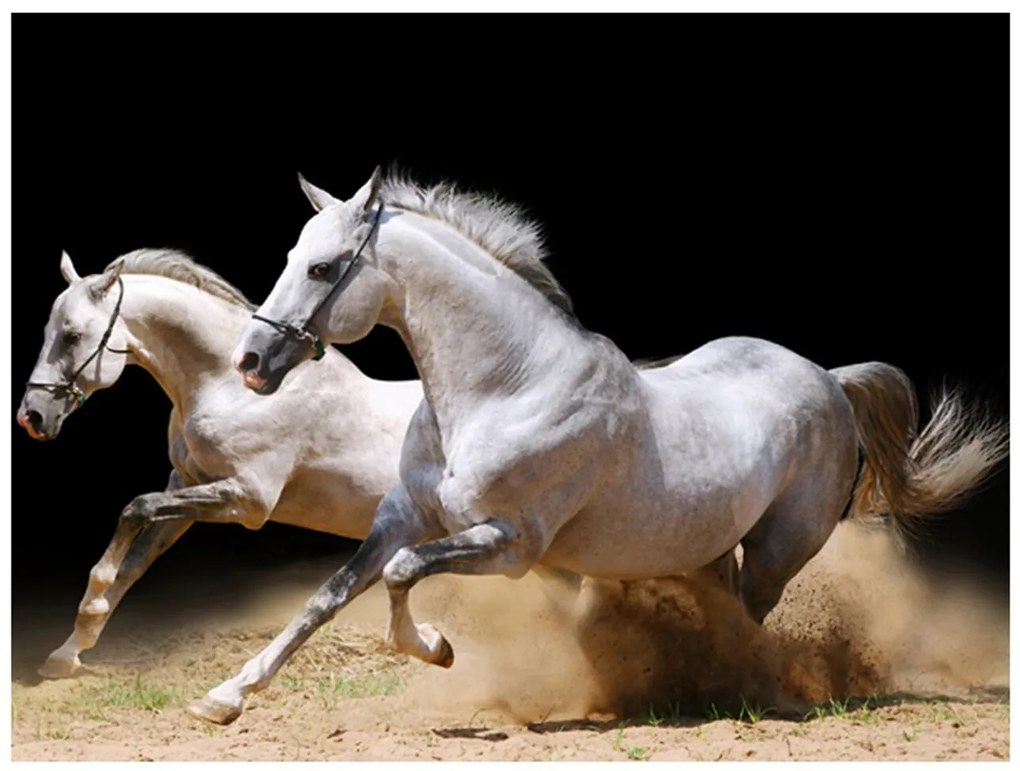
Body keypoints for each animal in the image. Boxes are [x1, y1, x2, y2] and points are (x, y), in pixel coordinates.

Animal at [15, 249, 422, 677]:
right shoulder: (186, 485)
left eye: (73, 335)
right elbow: (134, 563)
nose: (31, 417)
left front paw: (90, 607)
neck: (232, 388)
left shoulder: (248, 501)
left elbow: (134, 510)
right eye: (48, 331)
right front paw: (68, 652)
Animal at [187, 167, 1007, 722]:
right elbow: (328, 596)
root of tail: (829, 379)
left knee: (751, 619)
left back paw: (742, 690)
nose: (252, 362)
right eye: (291, 256)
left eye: (322, 267)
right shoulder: (402, 516)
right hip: (707, 546)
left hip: (779, 549)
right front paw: (224, 696)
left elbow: (400, 575)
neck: (505, 387)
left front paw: (438, 648)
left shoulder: (510, 544)